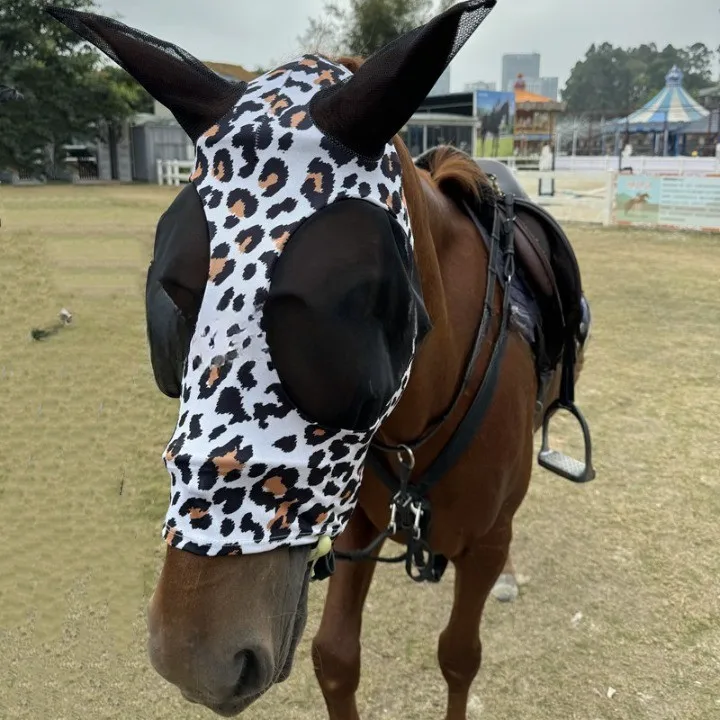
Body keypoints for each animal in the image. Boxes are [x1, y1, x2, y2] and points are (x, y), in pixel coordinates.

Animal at [48, 3, 594, 719]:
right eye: (171, 295)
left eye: (347, 304)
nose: (194, 658)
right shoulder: (357, 524)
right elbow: (335, 658)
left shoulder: (478, 546)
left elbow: (459, 657)